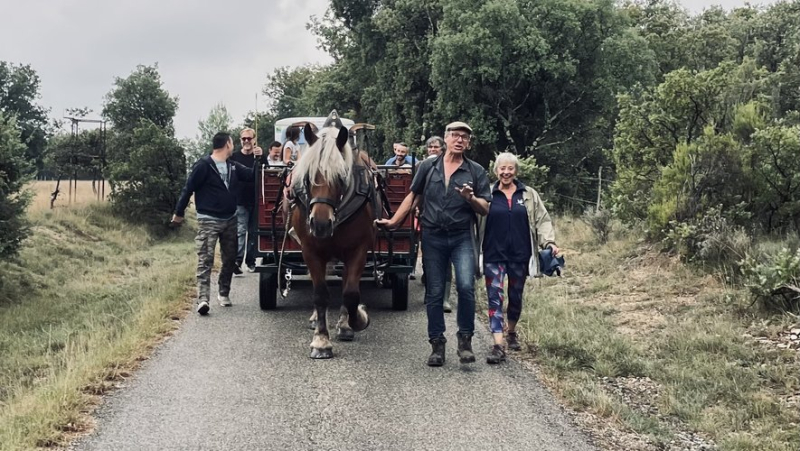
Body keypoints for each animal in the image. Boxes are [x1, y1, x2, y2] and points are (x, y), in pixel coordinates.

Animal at [290, 113, 376, 360]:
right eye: (308, 176)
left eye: (340, 177)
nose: (320, 224)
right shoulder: (310, 250)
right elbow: (320, 294)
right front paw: (321, 341)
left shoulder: (358, 249)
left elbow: (350, 293)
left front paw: (357, 319)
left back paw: (345, 323)